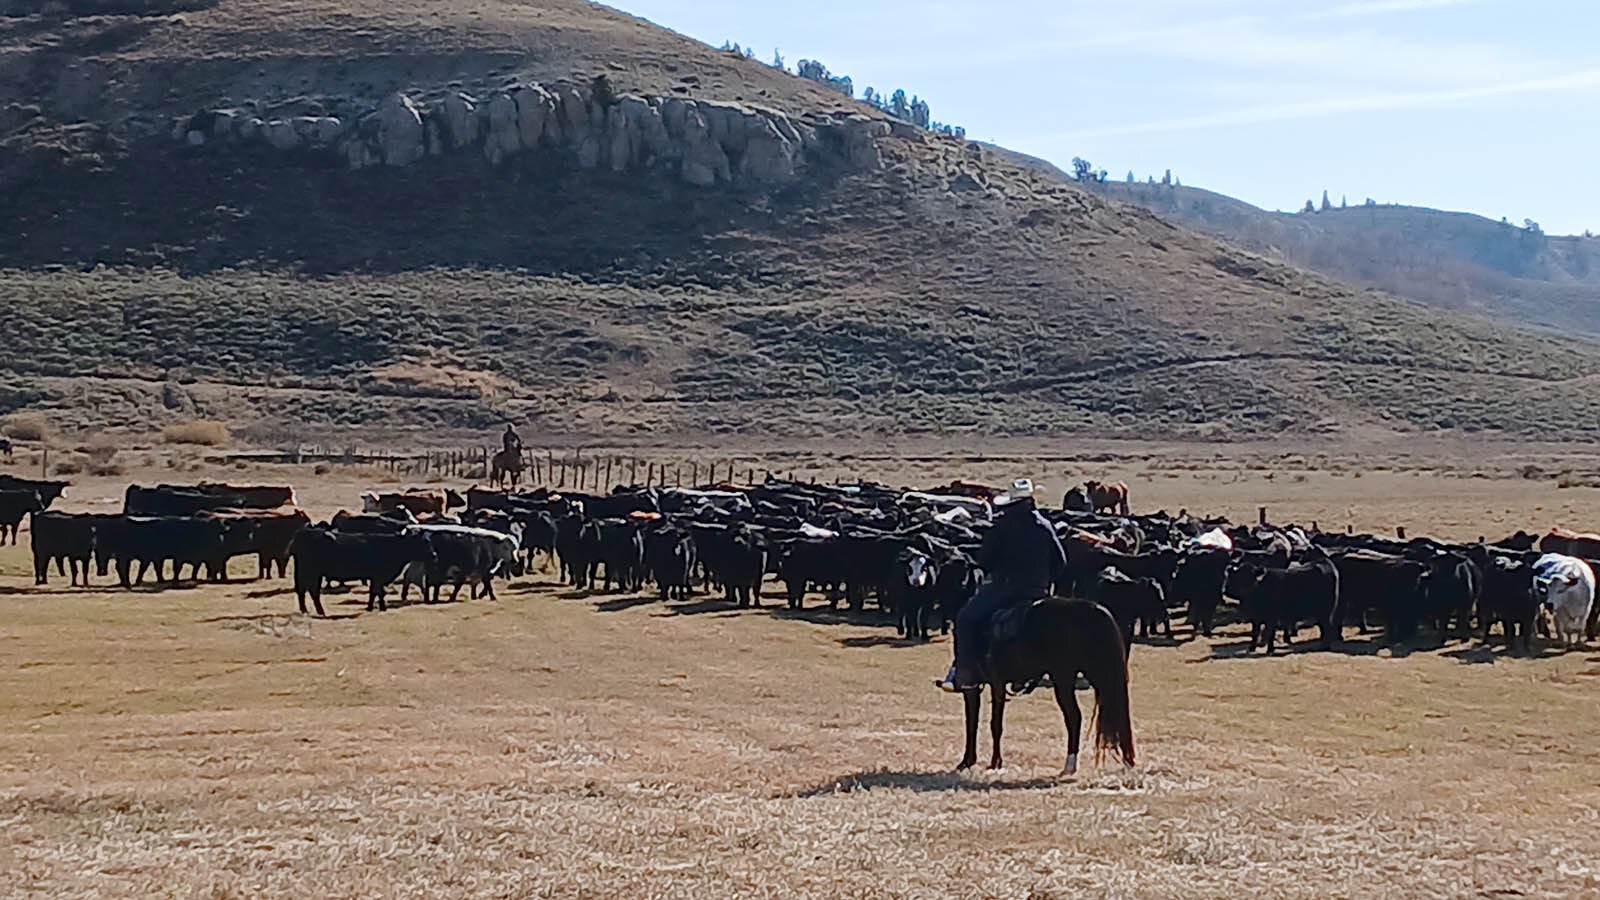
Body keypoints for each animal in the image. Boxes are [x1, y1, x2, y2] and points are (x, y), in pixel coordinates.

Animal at [292, 528, 432, 611]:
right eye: (423, 542)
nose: (434, 554)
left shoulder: (376, 578)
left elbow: (374, 592)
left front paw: (372, 607)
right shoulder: (379, 576)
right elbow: (379, 592)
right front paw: (381, 608)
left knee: (306, 590)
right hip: (310, 572)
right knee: (308, 590)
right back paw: (315, 611)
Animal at [953, 595, 1132, 771]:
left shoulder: (991, 685)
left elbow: (987, 723)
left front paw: (988, 761)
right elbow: (975, 722)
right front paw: (972, 760)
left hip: (1063, 678)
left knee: (1074, 716)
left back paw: (1070, 764)